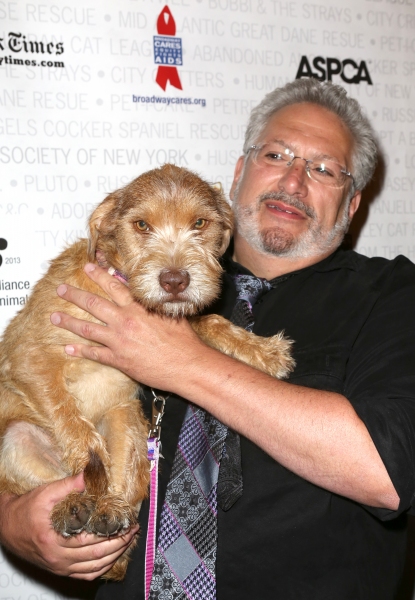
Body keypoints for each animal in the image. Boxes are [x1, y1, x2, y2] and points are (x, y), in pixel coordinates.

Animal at [0, 162, 294, 580]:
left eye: (200, 223)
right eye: (141, 225)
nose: (174, 281)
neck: (115, 283)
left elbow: (212, 321)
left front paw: (263, 351)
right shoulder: (27, 357)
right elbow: (74, 425)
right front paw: (87, 462)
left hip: (128, 425)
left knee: (126, 490)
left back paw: (109, 510)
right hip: (18, 438)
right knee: (56, 481)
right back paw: (74, 504)